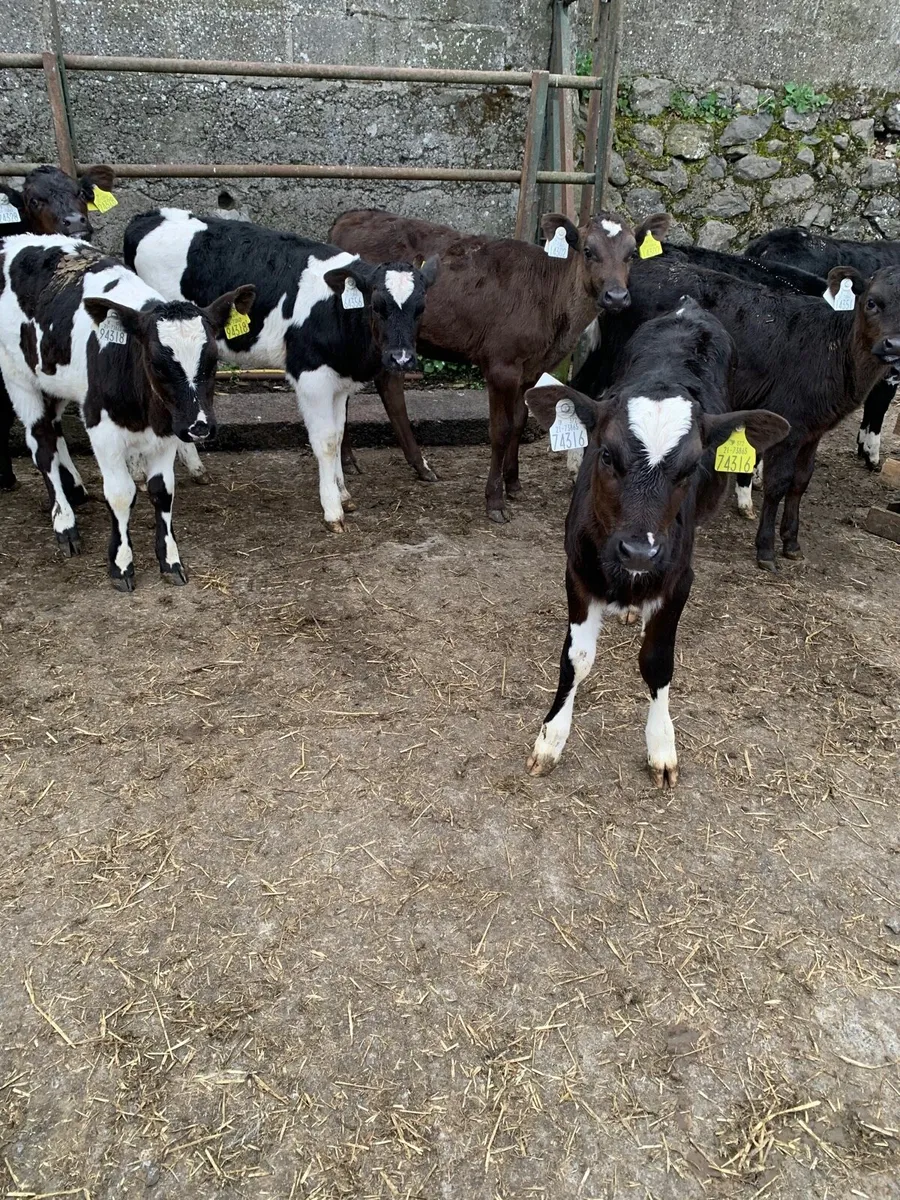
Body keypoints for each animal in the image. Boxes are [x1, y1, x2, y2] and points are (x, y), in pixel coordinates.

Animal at [0, 234, 254, 590]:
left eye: (213, 359)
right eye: (157, 363)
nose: (200, 426)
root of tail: (15, 239)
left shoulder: (167, 430)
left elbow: (162, 491)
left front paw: (170, 560)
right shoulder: (101, 429)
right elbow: (120, 494)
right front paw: (121, 564)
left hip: (55, 378)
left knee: (54, 426)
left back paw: (75, 488)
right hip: (19, 378)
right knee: (42, 444)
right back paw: (65, 522)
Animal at [124, 208, 438, 531]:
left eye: (421, 308)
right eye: (376, 305)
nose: (401, 359)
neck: (335, 309)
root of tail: (149, 215)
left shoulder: (338, 379)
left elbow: (338, 434)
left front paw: (343, 494)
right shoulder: (311, 377)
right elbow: (325, 442)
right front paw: (332, 509)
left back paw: (194, 470)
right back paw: (139, 474)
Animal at [329, 207, 671, 523]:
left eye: (632, 253)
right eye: (588, 250)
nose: (617, 296)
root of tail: (348, 216)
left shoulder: (531, 368)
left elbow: (520, 420)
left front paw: (514, 483)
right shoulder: (500, 364)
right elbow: (500, 430)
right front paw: (495, 500)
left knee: (382, 385)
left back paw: (405, 464)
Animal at [524, 300, 789, 787]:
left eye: (690, 468)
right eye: (606, 455)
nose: (639, 552)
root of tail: (690, 309)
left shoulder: (680, 579)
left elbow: (657, 660)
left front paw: (661, 746)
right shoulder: (576, 570)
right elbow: (577, 657)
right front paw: (551, 739)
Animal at [572, 259, 900, 569]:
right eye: (872, 302)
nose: (893, 345)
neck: (834, 349)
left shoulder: (813, 431)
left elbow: (801, 481)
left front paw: (792, 543)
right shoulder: (791, 422)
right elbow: (779, 484)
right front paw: (766, 549)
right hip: (610, 358)